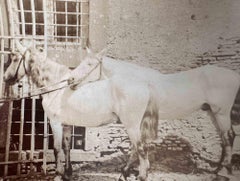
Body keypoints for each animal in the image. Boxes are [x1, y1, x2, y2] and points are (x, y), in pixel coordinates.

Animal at [3, 41, 240, 181]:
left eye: (14, 57)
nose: (6, 78)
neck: (56, 86)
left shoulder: (56, 122)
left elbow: (56, 149)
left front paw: (59, 175)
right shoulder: (68, 124)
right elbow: (67, 148)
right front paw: (68, 172)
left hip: (215, 113)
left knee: (227, 138)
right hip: (211, 113)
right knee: (223, 140)